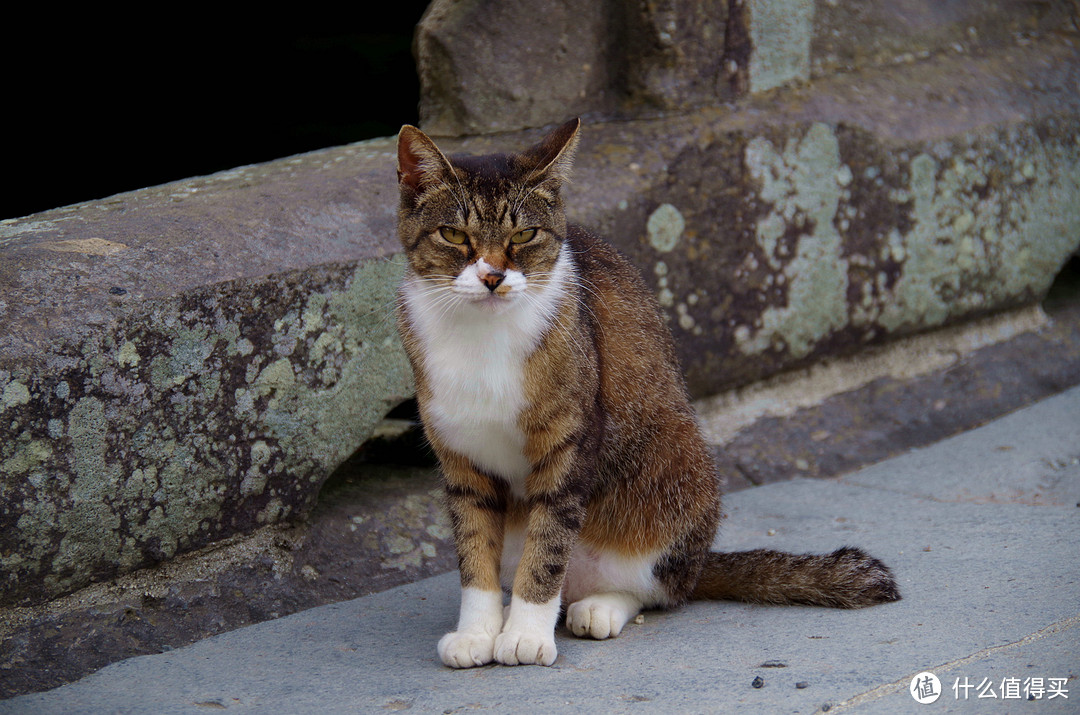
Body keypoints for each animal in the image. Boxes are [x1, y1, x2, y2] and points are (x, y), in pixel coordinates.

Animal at [393, 118, 898, 673]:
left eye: (524, 235)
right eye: (453, 234)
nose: (491, 276)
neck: (481, 338)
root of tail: (699, 563)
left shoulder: (573, 441)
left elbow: (548, 546)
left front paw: (525, 633)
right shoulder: (460, 456)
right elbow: (473, 547)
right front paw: (478, 632)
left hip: (677, 477)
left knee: (655, 588)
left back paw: (599, 607)